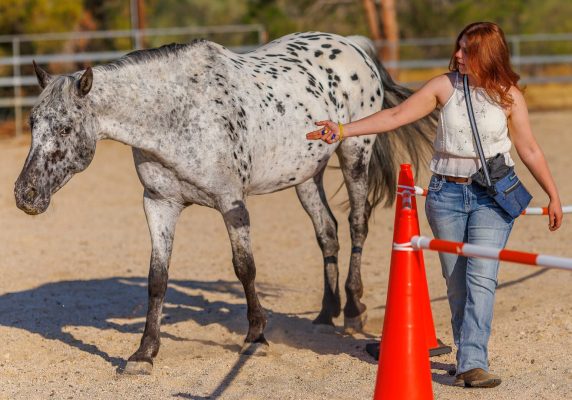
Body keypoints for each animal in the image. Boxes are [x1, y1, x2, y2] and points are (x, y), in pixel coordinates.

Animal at [14, 32, 434, 374]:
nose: (25, 194)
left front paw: (256, 336)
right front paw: (144, 354)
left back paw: (352, 309)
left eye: (65, 127)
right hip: (305, 176)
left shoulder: (231, 201)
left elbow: (245, 267)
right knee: (327, 232)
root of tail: (352, 45)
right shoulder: (159, 204)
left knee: (357, 224)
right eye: (33, 123)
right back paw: (325, 312)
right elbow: (156, 279)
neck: (177, 114)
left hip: (354, 154)